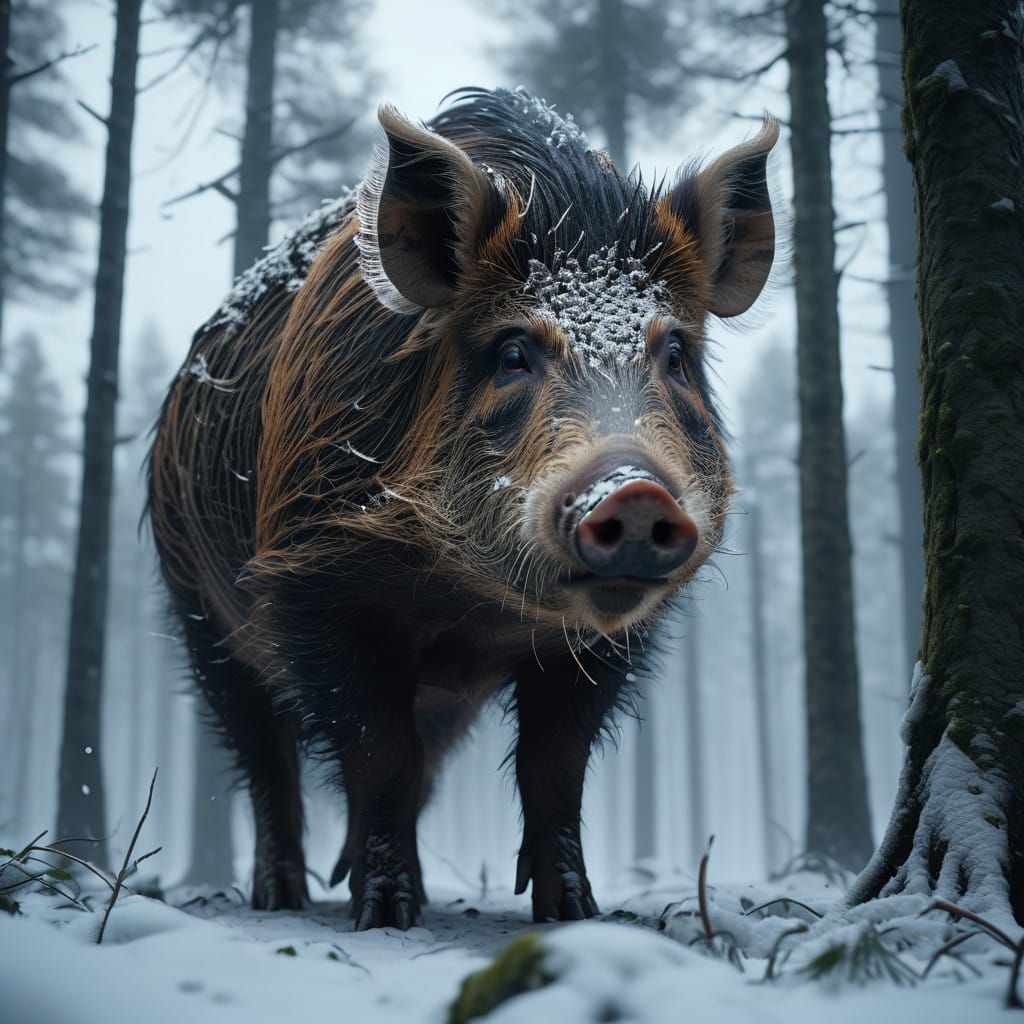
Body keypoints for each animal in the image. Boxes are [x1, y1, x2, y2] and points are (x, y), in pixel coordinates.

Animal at [147, 87, 778, 930]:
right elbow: (379, 755)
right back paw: (283, 898)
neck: (466, 603)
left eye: (674, 353)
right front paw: (385, 916)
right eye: (513, 351)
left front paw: (574, 914)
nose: (635, 489)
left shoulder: (612, 643)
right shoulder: (309, 576)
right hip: (197, 614)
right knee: (266, 759)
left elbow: (554, 767)